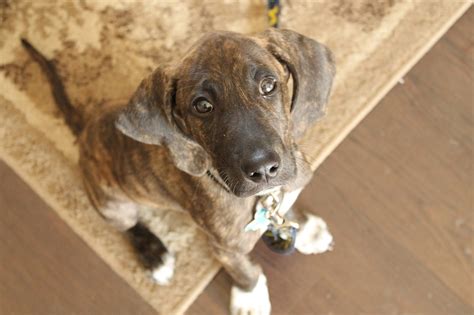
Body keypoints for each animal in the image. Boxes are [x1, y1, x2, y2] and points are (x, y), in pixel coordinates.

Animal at [21, 28, 334, 314]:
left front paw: (306, 229)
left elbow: (286, 206)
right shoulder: (225, 247)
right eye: (203, 106)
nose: (263, 169)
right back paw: (155, 255)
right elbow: (244, 271)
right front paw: (250, 298)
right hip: (112, 203)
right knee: (130, 226)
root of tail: (85, 128)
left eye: (269, 86)